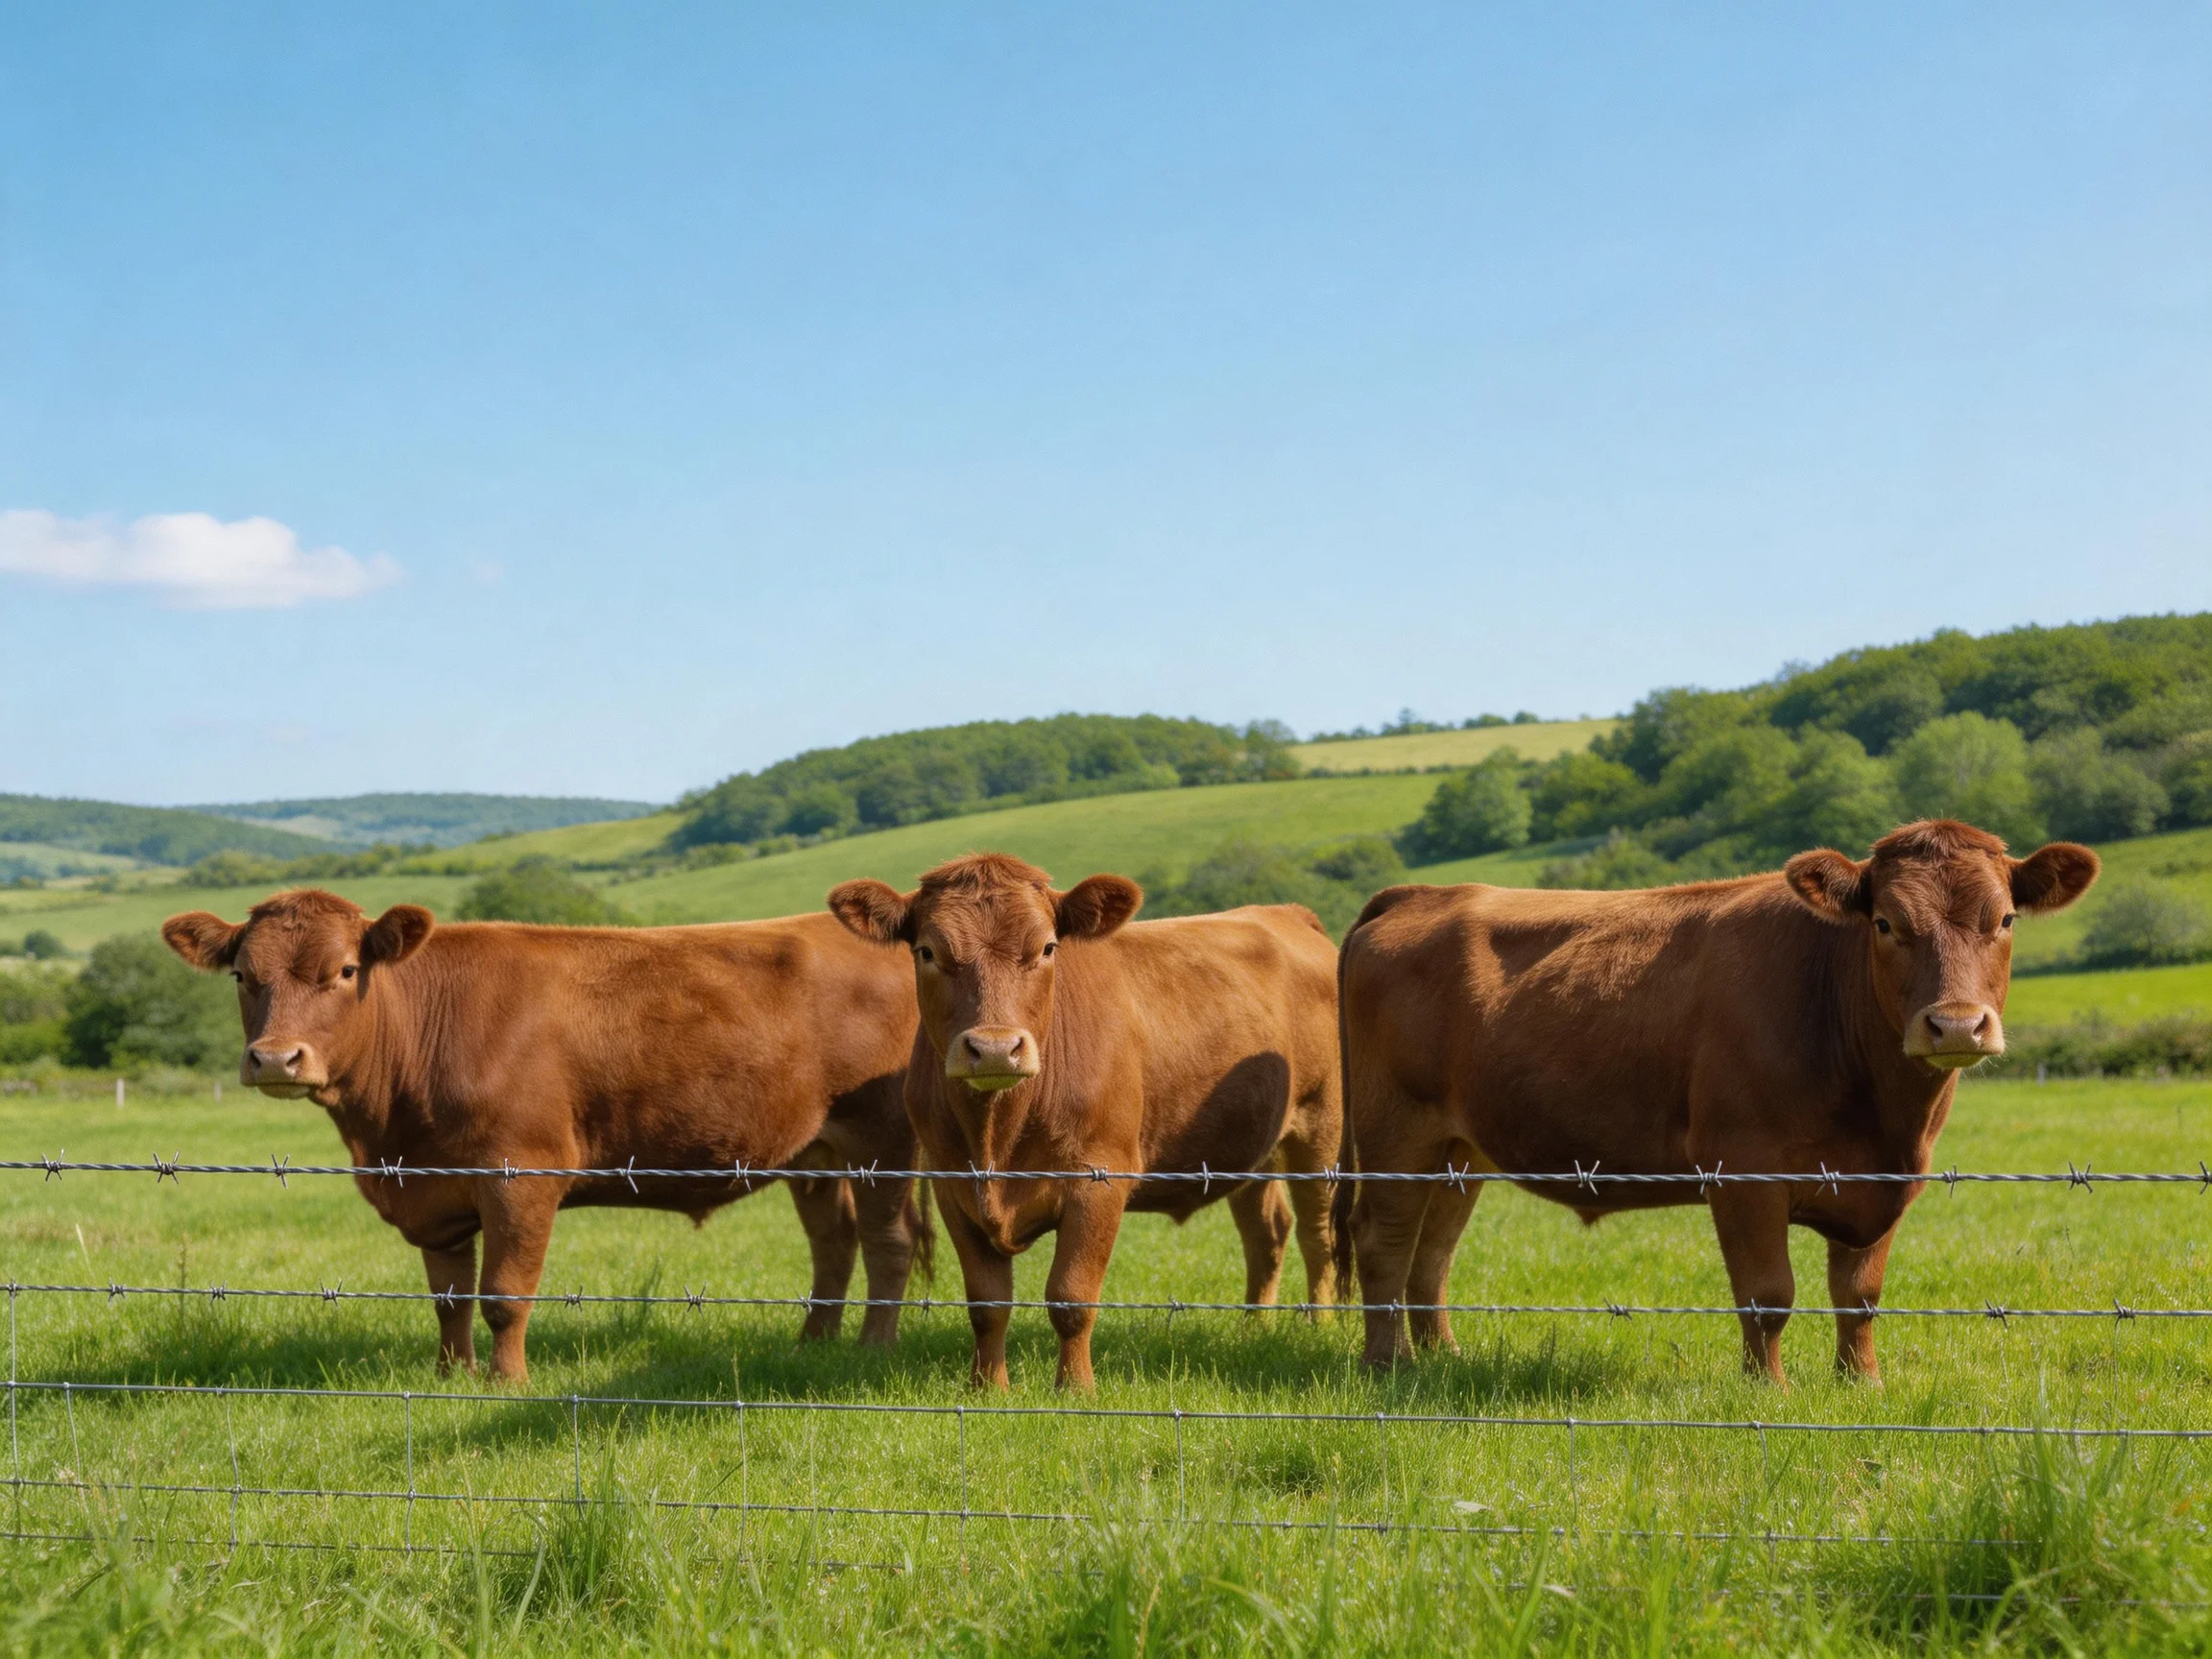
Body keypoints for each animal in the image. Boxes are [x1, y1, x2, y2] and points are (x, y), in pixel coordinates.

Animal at [161, 889, 929, 1383]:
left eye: (346, 971)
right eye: (241, 975)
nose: (274, 1059)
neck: (389, 1135)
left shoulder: (521, 1177)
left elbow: (503, 1294)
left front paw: (506, 1382)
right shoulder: (434, 1193)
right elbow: (449, 1295)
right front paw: (450, 1375)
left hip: (885, 1141)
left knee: (887, 1242)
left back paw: (873, 1349)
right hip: (815, 1150)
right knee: (834, 1243)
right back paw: (812, 1345)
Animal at [827, 853, 1341, 1390]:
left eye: (1047, 947)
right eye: (927, 951)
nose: (995, 1047)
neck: (997, 1135)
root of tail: (1285, 914)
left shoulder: (1099, 1180)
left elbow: (1071, 1297)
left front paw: (1075, 1387)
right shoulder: (953, 1185)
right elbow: (987, 1303)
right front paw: (987, 1386)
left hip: (1321, 1124)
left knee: (1317, 1230)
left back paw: (1319, 1323)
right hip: (1250, 1145)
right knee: (1267, 1231)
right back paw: (1255, 1325)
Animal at [1332, 819, 2098, 1385]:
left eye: (2006, 919)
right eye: (1885, 923)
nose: (1957, 1025)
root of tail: (1422, 893)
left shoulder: (1883, 1180)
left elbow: (1860, 1296)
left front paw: (1863, 1384)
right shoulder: (1743, 1170)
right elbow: (1767, 1294)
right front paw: (1770, 1392)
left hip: (1460, 1149)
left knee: (1433, 1250)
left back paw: (1441, 1357)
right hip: (1397, 1130)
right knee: (1383, 1239)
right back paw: (1387, 1365)